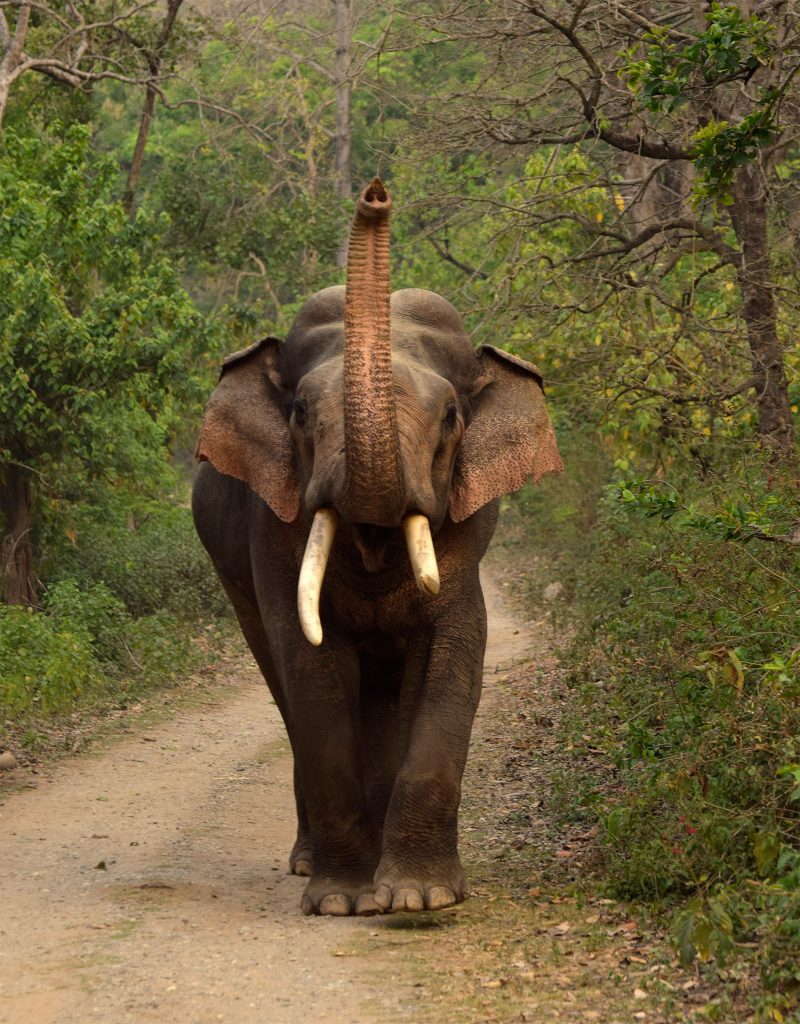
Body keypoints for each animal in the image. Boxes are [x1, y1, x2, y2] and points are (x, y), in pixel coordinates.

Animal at [191, 178, 561, 921]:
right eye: (300, 413)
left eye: (450, 418)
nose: (376, 193)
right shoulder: (273, 521)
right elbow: (311, 668)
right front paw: (341, 902)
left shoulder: (468, 522)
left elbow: (454, 644)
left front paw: (420, 898)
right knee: (282, 685)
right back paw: (308, 861)